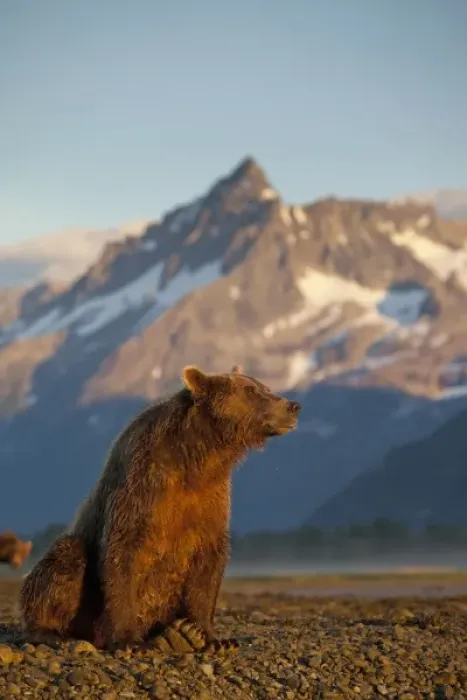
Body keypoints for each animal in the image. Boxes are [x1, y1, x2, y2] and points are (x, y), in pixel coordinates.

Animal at [20, 364, 300, 652]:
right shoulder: (143, 486)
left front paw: (210, 635)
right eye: (251, 391)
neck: (198, 458)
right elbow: (123, 554)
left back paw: (176, 635)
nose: (292, 406)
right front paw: (128, 640)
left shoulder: (211, 499)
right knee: (64, 562)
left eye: (264, 387)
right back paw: (51, 632)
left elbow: (209, 562)